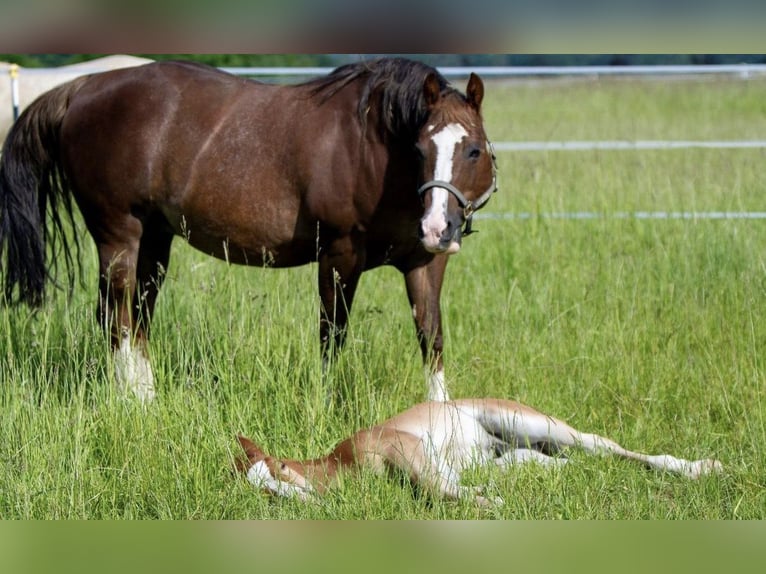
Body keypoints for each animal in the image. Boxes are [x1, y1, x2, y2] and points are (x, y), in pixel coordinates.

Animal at [0, 58, 497, 403]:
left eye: (473, 150)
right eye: (419, 148)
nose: (438, 226)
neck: (372, 148)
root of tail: (82, 88)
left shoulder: (423, 262)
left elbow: (431, 336)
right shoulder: (338, 254)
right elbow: (332, 335)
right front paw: (326, 404)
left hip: (154, 239)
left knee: (137, 315)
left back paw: (147, 396)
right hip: (118, 235)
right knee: (115, 316)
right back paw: (131, 399)